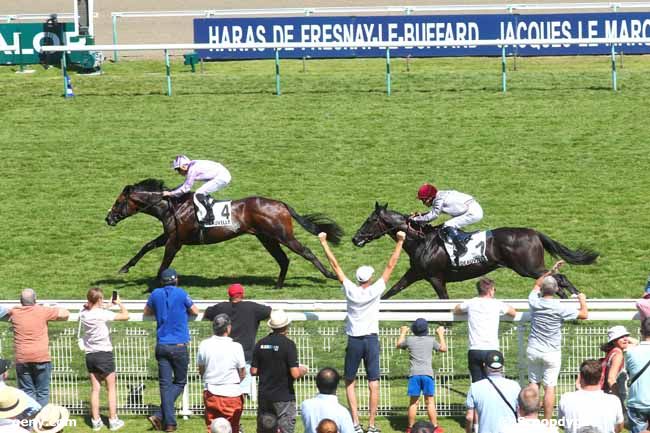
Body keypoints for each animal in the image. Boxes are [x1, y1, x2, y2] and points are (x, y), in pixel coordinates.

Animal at [104, 177, 342, 286]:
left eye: (118, 202)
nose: (108, 218)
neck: (173, 206)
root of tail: (280, 204)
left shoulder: (175, 242)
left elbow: (164, 264)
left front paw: (157, 285)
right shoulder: (169, 236)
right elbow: (146, 246)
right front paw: (124, 268)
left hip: (283, 235)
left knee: (306, 252)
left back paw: (330, 275)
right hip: (267, 238)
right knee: (283, 259)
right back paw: (277, 286)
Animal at [352, 202, 596, 296]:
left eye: (370, 220)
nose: (355, 239)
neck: (421, 241)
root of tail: (534, 233)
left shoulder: (436, 277)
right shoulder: (415, 273)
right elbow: (392, 291)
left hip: (529, 267)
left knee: (560, 277)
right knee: (555, 281)